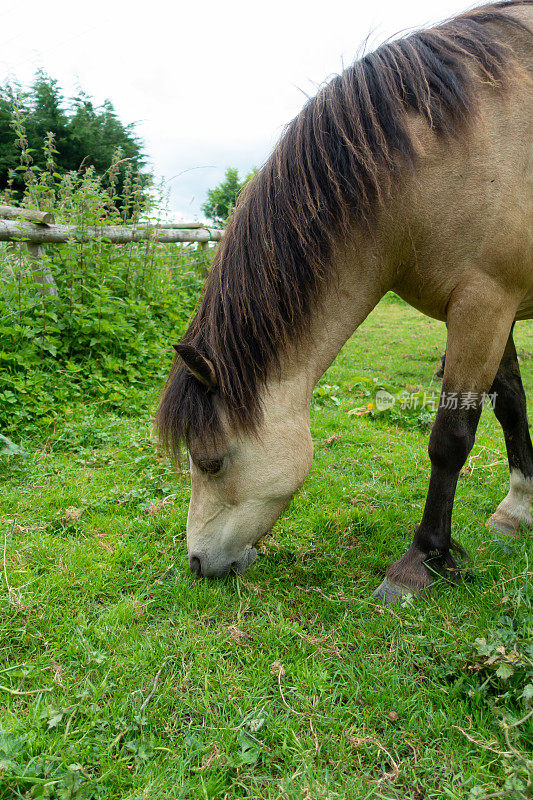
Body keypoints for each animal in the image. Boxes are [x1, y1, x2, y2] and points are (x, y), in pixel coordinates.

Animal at [156, 0, 528, 600]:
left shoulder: (485, 304)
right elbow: (511, 405)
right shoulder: (497, 308)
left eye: (209, 462)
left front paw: (421, 561)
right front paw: (519, 510)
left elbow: (450, 438)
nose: (196, 563)